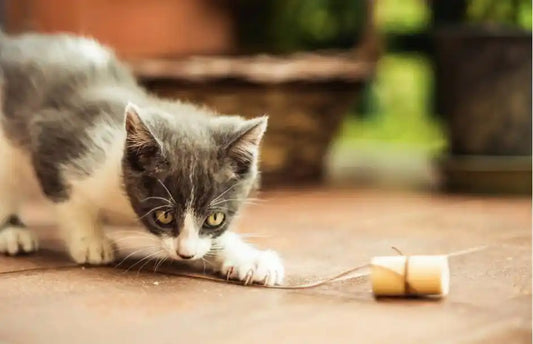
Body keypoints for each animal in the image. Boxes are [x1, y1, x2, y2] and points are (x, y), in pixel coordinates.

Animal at [0, 31, 282, 284]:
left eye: (215, 218)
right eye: (164, 215)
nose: (185, 254)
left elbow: (213, 240)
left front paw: (251, 259)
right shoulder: (53, 138)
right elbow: (70, 201)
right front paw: (90, 241)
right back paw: (13, 233)